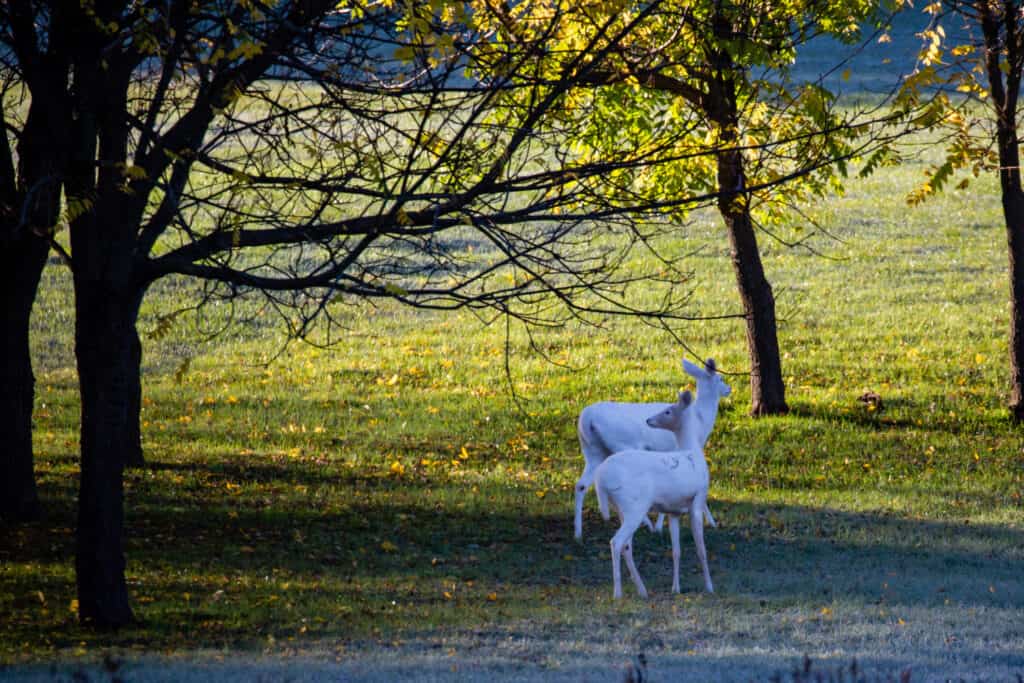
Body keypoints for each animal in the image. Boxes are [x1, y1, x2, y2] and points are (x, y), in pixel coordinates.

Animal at [573, 358, 733, 540]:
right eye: (720, 378)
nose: (729, 389)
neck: (700, 419)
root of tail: (588, 419)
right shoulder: (677, 449)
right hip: (622, 443)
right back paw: (647, 524)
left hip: (592, 450)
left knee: (581, 485)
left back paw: (578, 533)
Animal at [593, 389, 712, 598]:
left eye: (667, 411)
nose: (648, 420)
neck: (692, 453)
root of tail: (601, 478)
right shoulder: (698, 498)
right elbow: (701, 548)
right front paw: (710, 587)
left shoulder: (674, 511)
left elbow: (676, 551)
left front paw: (676, 588)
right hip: (635, 505)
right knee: (616, 542)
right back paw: (618, 593)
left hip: (621, 507)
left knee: (626, 546)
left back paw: (642, 590)